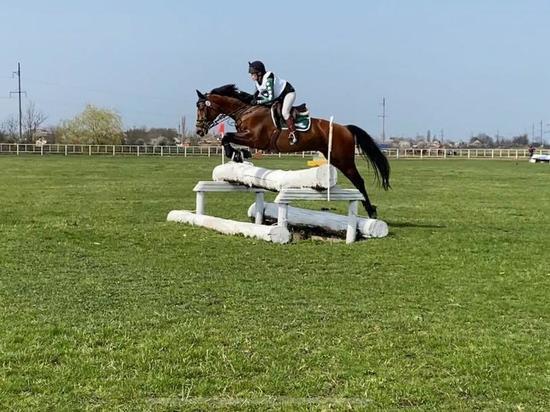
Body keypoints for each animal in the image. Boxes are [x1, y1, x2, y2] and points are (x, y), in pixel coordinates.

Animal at [195, 83, 392, 219]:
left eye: (202, 107)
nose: (199, 130)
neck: (247, 110)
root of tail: (346, 128)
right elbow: (228, 138)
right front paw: (238, 155)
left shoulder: (255, 138)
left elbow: (226, 137)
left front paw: (233, 153)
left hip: (342, 159)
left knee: (359, 181)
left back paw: (371, 211)